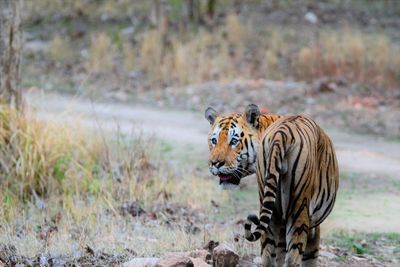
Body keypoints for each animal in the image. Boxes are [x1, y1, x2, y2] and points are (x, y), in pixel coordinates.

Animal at [205, 104, 340, 267]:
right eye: (214, 140)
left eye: (234, 141)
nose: (215, 163)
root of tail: (281, 134)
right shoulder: (311, 226)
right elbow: (310, 257)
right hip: (299, 209)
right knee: (293, 258)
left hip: (270, 207)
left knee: (268, 254)